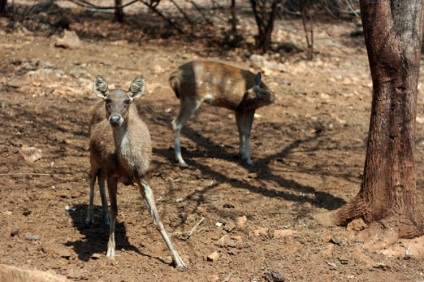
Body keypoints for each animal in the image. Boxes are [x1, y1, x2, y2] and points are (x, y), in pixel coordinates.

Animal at [85, 75, 186, 268]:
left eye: (127, 101)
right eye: (108, 100)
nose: (115, 119)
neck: (127, 167)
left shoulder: (144, 176)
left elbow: (157, 219)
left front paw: (178, 260)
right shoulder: (112, 174)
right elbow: (115, 210)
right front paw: (110, 251)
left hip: (101, 164)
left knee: (99, 179)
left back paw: (104, 218)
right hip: (92, 156)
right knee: (93, 177)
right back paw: (89, 218)